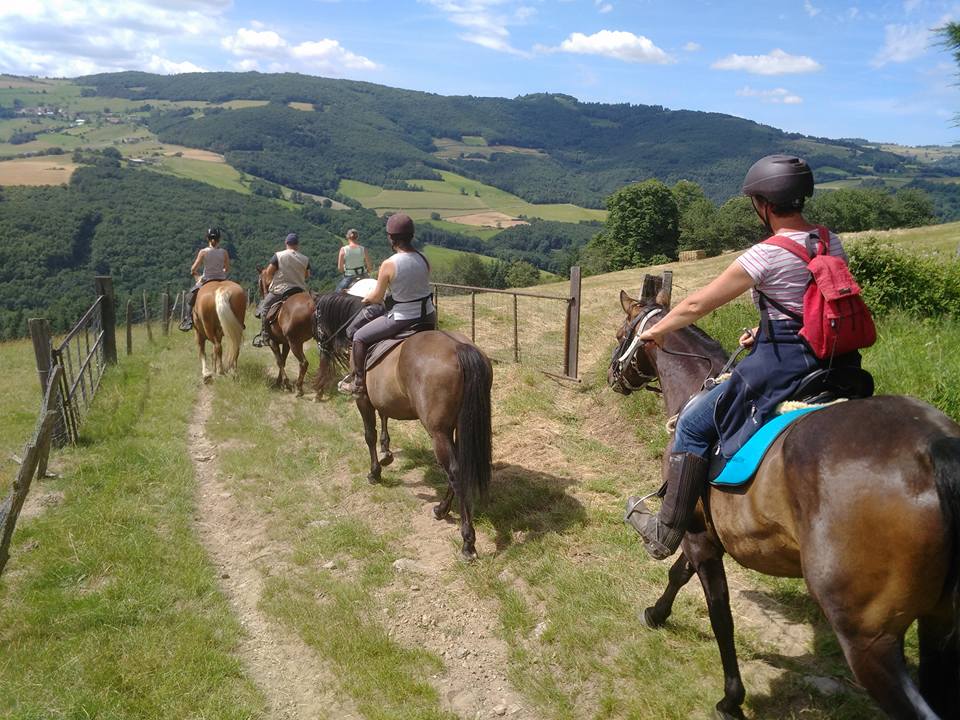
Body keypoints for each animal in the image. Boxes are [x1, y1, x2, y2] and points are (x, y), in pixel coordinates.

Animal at [255, 268, 316, 396]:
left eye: (259, 281)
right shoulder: (285, 343)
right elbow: (283, 360)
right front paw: (280, 382)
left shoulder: (273, 342)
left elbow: (279, 361)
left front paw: (286, 384)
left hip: (295, 343)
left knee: (304, 363)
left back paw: (299, 388)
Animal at [314, 292, 496, 564]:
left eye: (315, 316)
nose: (321, 345)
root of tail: (459, 348)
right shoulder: (382, 399)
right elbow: (384, 418)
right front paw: (387, 454)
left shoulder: (363, 399)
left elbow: (369, 434)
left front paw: (375, 472)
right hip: (456, 426)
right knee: (459, 468)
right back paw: (441, 510)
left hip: (438, 432)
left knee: (455, 472)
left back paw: (467, 541)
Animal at [608, 278, 960, 720]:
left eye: (620, 335)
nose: (612, 376)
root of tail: (934, 449)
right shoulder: (704, 531)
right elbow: (679, 575)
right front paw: (657, 614)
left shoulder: (696, 534)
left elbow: (719, 614)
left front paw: (731, 698)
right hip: (939, 622)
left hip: (869, 640)